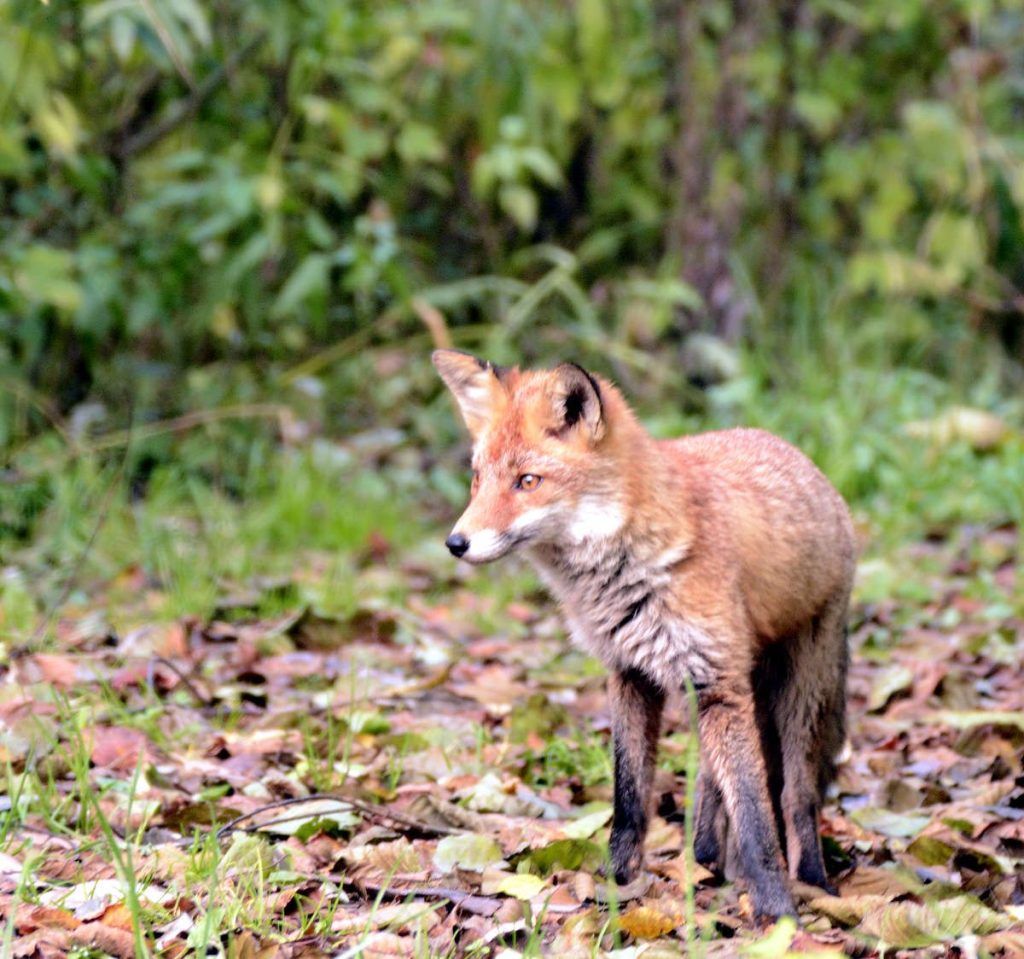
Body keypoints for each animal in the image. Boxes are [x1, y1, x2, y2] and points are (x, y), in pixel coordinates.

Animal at [431, 350, 855, 920]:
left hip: (796, 688)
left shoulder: (718, 681)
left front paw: (777, 911)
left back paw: (810, 879)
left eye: (528, 481)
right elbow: (630, 799)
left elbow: (754, 812)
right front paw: (615, 885)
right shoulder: (631, 673)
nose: (456, 543)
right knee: (711, 782)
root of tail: (806, 464)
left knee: (794, 795)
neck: (628, 565)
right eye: (478, 479)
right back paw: (706, 862)